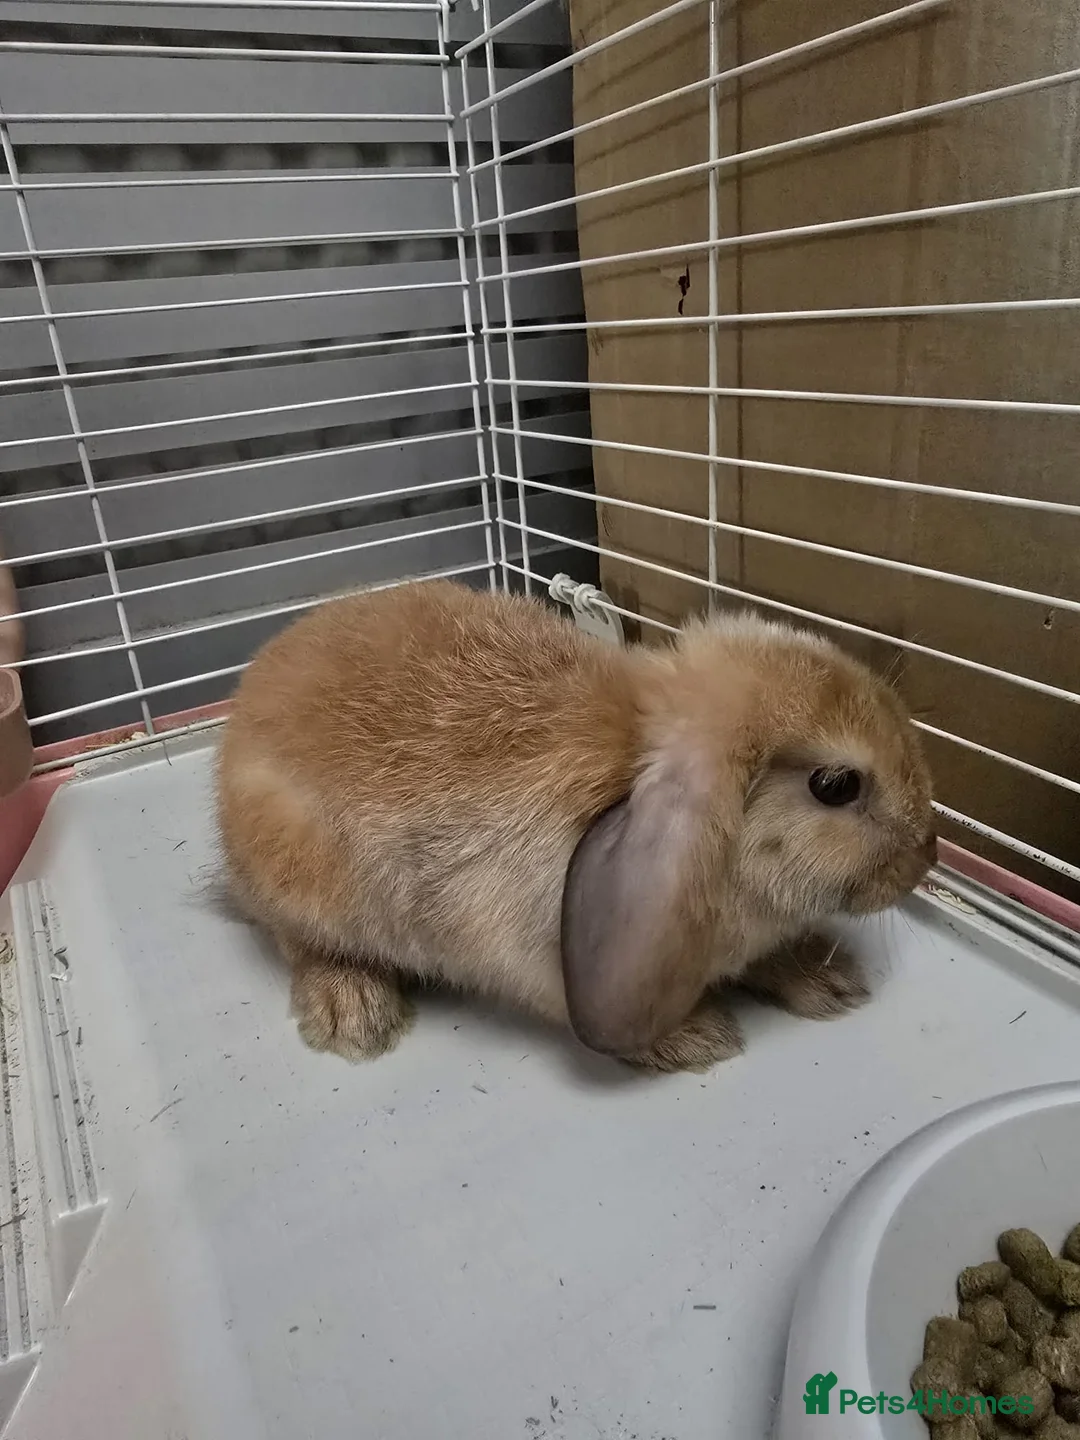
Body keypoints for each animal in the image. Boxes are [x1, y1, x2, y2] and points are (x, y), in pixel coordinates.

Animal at [216, 580, 936, 1073]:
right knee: (300, 941)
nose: (925, 857)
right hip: (304, 878)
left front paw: (829, 981)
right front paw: (697, 1037)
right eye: (836, 786)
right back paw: (354, 1014)